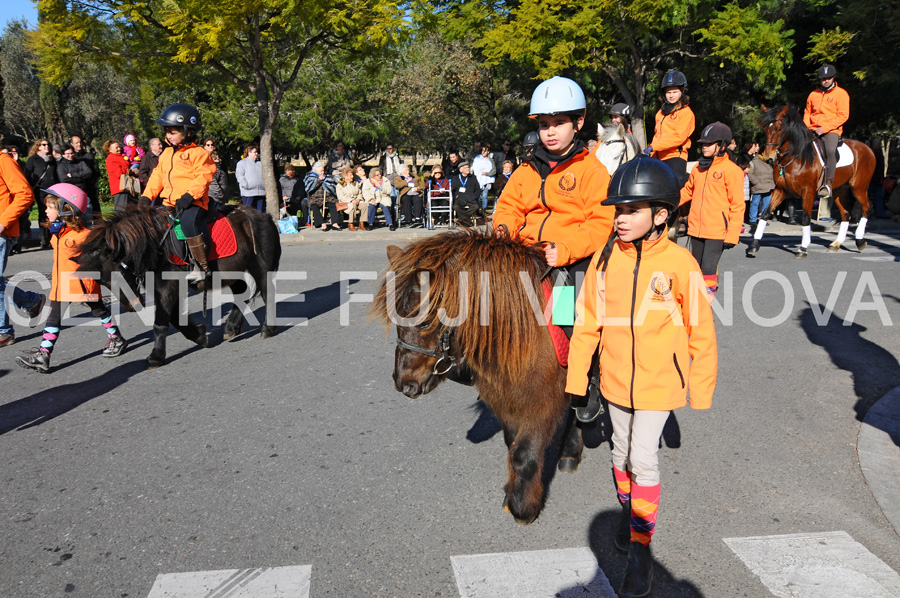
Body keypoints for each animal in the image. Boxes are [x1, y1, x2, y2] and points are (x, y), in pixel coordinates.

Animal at [370, 232, 584, 528]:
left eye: (424, 322)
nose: (404, 384)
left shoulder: (541, 402)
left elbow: (524, 455)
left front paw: (523, 508)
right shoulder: (506, 398)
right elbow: (511, 445)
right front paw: (512, 493)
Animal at [748, 105, 876, 258]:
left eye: (779, 129)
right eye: (765, 129)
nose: (768, 158)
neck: (794, 157)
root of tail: (868, 149)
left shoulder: (807, 192)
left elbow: (805, 218)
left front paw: (803, 248)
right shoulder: (781, 190)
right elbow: (765, 213)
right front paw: (754, 245)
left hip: (859, 188)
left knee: (867, 207)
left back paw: (859, 240)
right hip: (840, 191)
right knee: (846, 214)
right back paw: (836, 243)